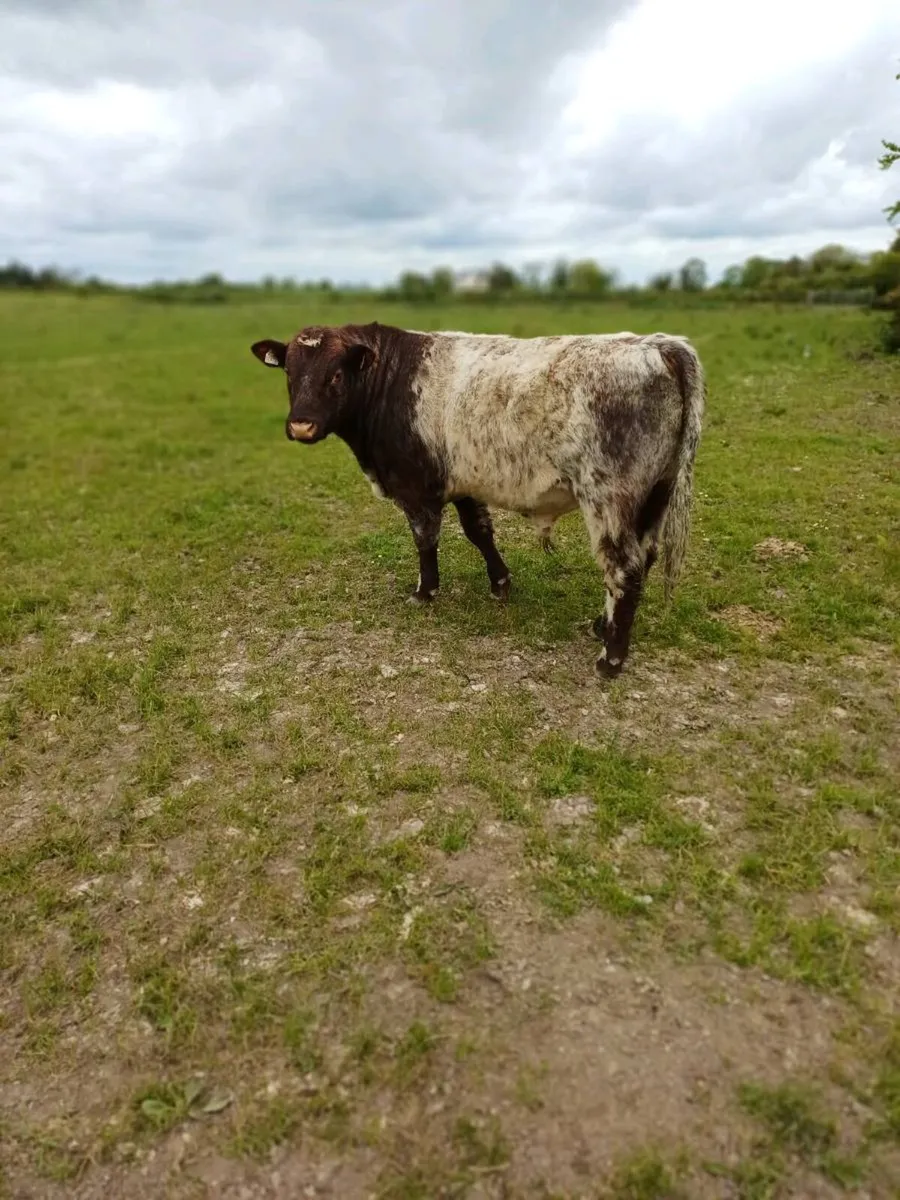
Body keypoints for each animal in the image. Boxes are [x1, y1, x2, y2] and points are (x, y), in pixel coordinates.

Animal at [249, 322, 705, 678]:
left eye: (336, 376)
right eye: (290, 372)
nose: (301, 426)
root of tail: (658, 345)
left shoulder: (416, 487)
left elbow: (425, 539)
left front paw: (425, 591)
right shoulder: (464, 483)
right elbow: (479, 531)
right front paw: (500, 584)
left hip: (610, 499)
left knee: (623, 568)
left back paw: (610, 658)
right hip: (654, 496)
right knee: (644, 558)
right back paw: (602, 626)